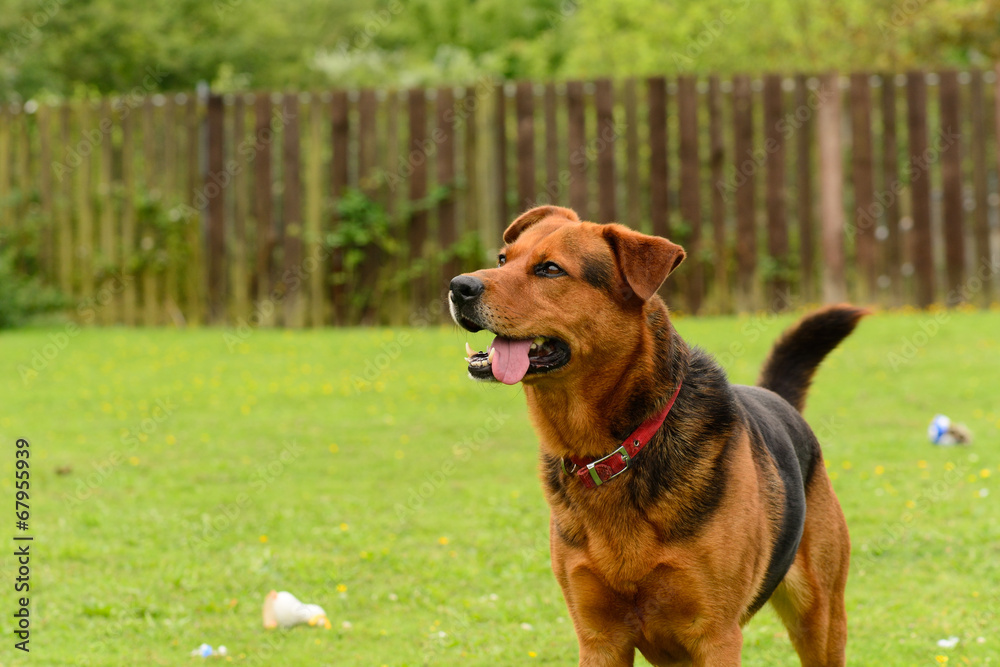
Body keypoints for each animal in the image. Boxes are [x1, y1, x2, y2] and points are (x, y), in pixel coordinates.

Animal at [450, 206, 864, 664]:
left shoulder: (716, 636)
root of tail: (777, 398)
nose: (458, 287)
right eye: (503, 259)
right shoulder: (599, 639)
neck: (615, 450)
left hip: (820, 621)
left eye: (550, 269)